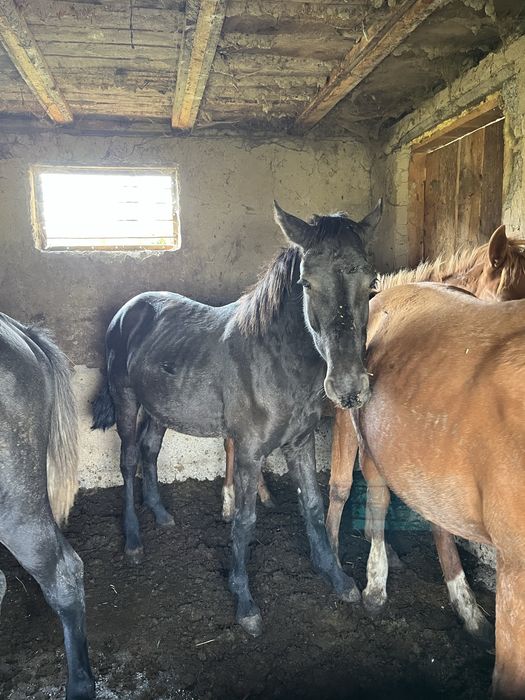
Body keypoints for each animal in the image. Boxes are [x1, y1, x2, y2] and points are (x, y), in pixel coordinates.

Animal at [92, 199, 382, 636]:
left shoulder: (300, 443)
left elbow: (313, 505)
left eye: (371, 283)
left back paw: (161, 515)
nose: (349, 387)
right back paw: (133, 541)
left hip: (160, 410)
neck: (274, 360)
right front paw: (244, 603)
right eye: (306, 283)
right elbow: (244, 521)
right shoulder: (247, 452)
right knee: (128, 461)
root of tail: (129, 308)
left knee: (149, 451)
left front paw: (336, 576)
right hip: (126, 401)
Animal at [350, 282, 525, 698]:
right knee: (379, 505)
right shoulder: (516, 563)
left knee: (437, 521)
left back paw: (468, 610)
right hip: (370, 447)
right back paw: (375, 589)